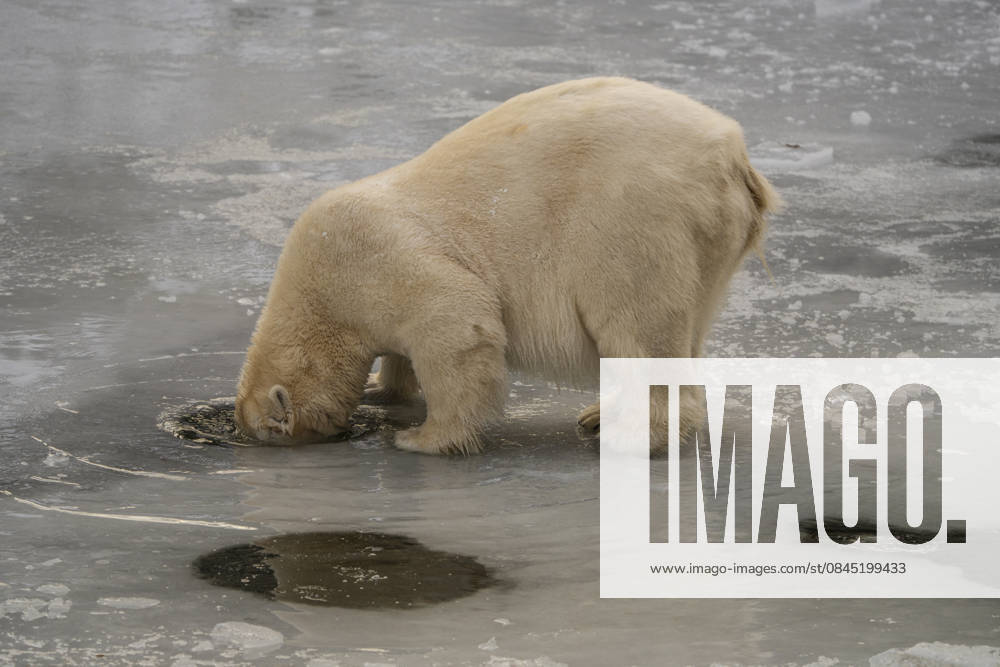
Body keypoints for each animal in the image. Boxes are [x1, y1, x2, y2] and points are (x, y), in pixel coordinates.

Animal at [234, 76, 780, 455]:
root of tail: (734, 157)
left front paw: (420, 438)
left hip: (634, 218)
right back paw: (601, 414)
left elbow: (455, 321)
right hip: (711, 248)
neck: (316, 293)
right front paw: (379, 388)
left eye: (269, 430)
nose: (258, 439)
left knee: (638, 326)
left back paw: (628, 433)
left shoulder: (373, 255)